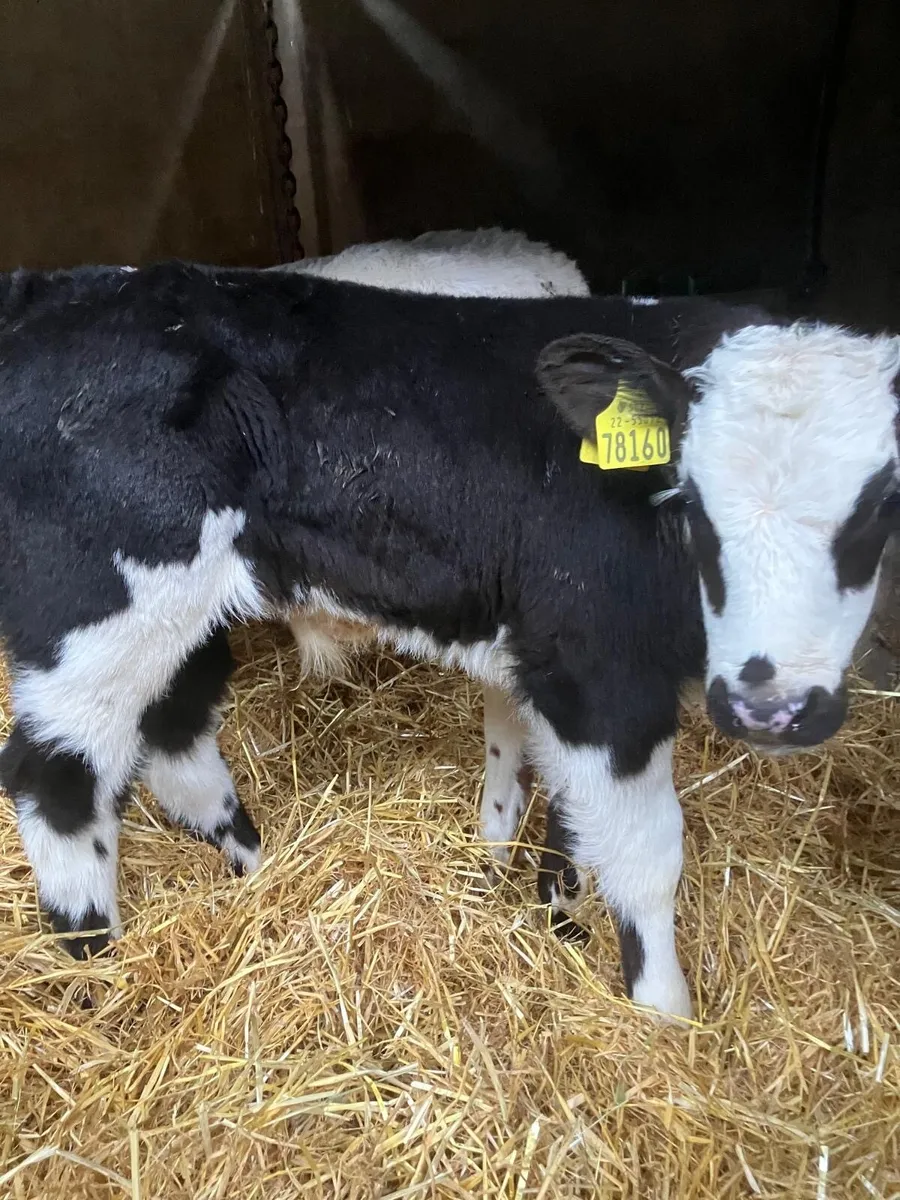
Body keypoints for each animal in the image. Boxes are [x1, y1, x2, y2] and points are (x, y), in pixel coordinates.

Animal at [0, 261, 896, 1021]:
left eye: (881, 506)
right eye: (694, 500)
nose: (771, 706)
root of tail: (52, 290)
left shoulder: (542, 658)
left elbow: (552, 795)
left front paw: (551, 911)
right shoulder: (596, 671)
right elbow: (644, 856)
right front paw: (663, 1022)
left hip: (176, 623)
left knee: (175, 732)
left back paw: (255, 872)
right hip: (93, 614)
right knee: (55, 777)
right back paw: (98, 973)